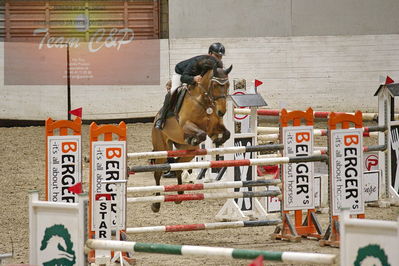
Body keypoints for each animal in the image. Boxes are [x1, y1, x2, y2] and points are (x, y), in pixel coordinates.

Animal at [150, 64, 233, 212]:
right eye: (215, 85)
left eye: (228, 84)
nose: (221, 112)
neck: (203, 102)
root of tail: (155, 118)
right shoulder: (186, 125)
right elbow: (201, 134)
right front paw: (194, 138)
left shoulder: (214, 127)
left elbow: (226, 133)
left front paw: (218, 140)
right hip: (161, 149)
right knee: (158, 172)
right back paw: (156, 204)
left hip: (188, 152)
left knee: (177, 166)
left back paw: (179, 195)